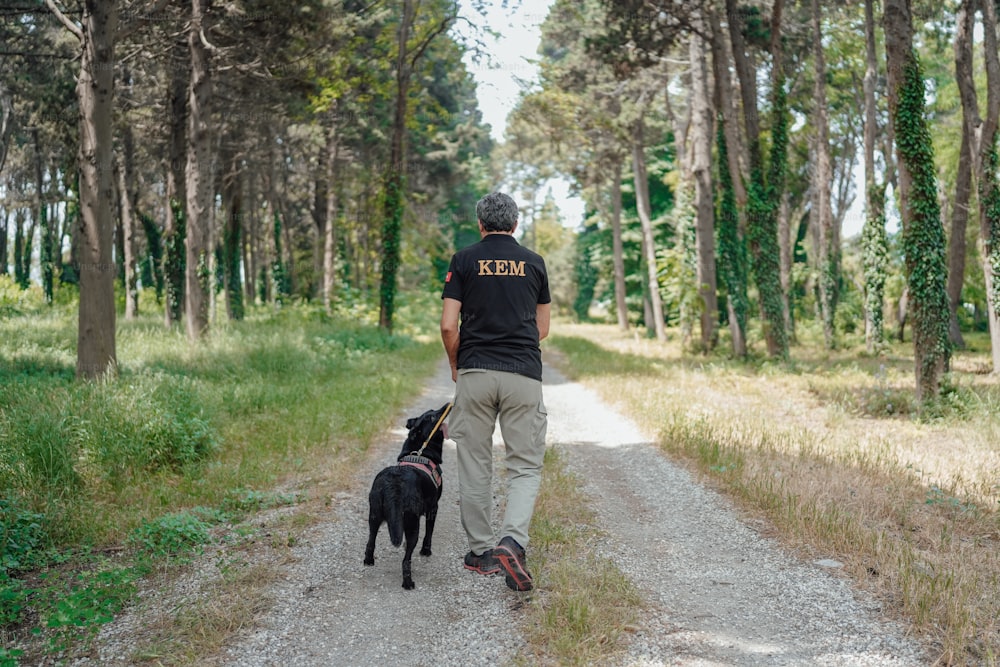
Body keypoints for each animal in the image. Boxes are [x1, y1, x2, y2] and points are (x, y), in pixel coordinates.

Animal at [364, 402, 450, 588]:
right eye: (432, 416)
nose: (448, 404)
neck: (420, 451)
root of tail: (394, 483)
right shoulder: (433, 508)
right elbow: (429, 533)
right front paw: (426, 551)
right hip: (412, 525)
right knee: (406, 559)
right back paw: (408, 582)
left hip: (374, 515)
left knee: (370, 541)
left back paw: (368, 560)